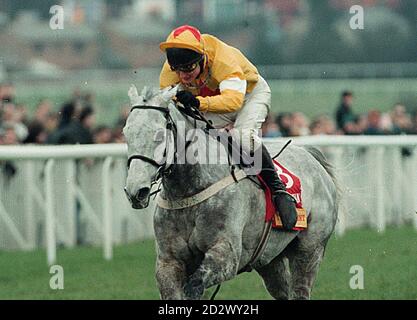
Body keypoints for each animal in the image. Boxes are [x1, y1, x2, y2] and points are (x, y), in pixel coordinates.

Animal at [122, 85, 338, 300]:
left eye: (158, 134)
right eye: (126, 133)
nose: (136, 191)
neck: (187, 192)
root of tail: (311, 156)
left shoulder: (226, 255)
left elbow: (195, 285)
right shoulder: (168, 261)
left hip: (310, 250)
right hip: (270, 260)